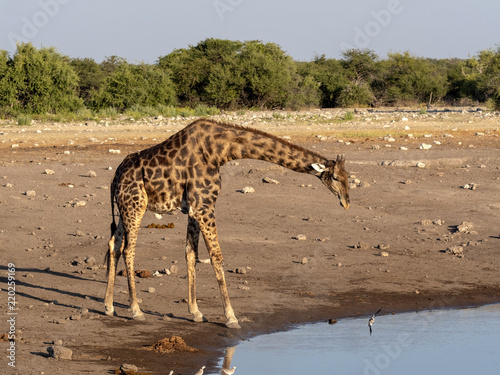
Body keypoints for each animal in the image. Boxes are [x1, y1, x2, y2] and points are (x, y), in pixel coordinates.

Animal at [103, 118, 350, 328]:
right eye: (335, 177)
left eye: (348, 177)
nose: (347, 202)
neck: (219, 151)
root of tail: (115, 177)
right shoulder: (205, 206)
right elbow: (216, 256)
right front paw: (231, 317)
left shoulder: (194, 208)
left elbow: (190, 253)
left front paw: (196, 312)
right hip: (135, 205)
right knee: (129, 249)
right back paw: (136, 310)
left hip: (125, 208)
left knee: (114, 244)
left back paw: (109, 306)